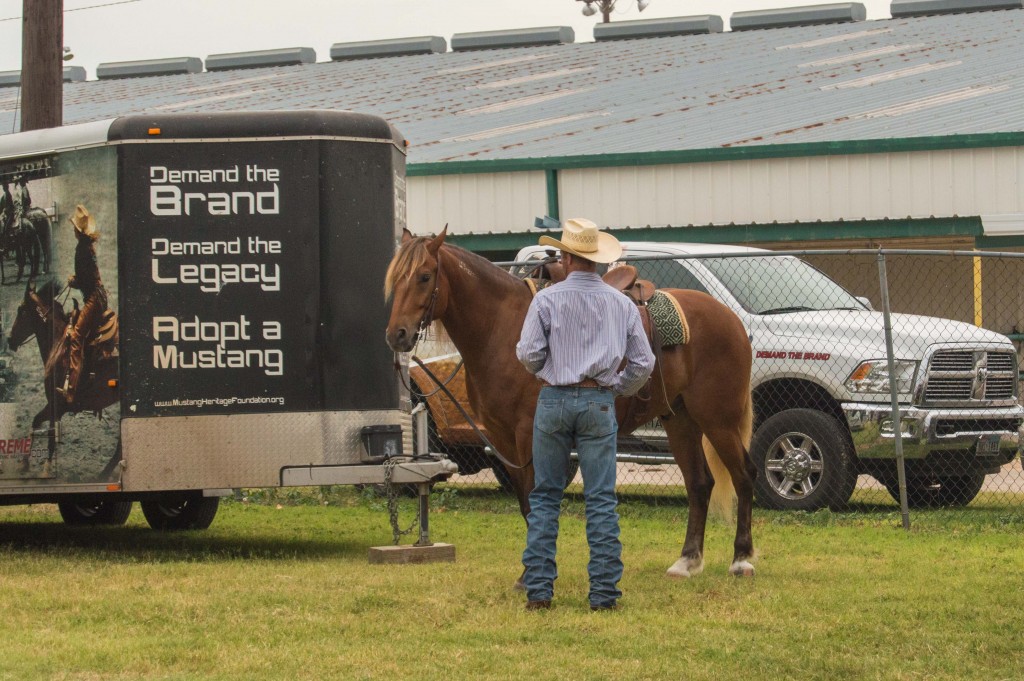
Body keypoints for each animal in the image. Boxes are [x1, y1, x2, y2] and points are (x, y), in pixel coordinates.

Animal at [382, 229, 753, 577]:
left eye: (424, 276)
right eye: (394, 278)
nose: (396, 335)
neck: (502, 330)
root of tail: (732, 319)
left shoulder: (530, 434)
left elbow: (536, 500)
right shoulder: (503, 438)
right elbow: (526, 503)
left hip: (718, 420)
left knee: (742, 475)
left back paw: (742, 560)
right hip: (680, 420)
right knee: (700, 484)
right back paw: (687, 561)